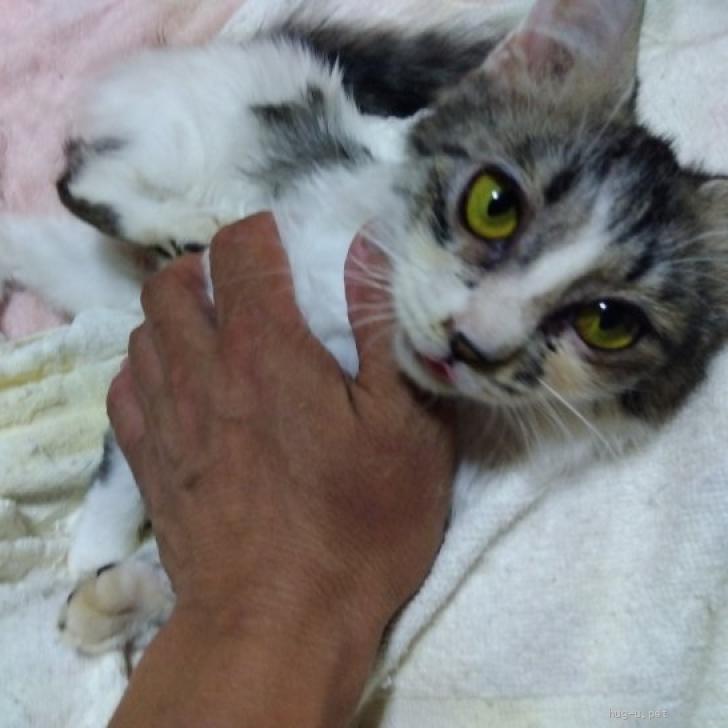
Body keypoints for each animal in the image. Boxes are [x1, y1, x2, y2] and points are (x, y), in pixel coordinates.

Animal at [2, 0, 727, 657]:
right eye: (494, 205)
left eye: (608, 324)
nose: (473, 340)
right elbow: (127, 453)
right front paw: (95, 543)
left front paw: (119, 597)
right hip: (204, 123)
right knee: (83, 178)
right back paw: (176, 220)